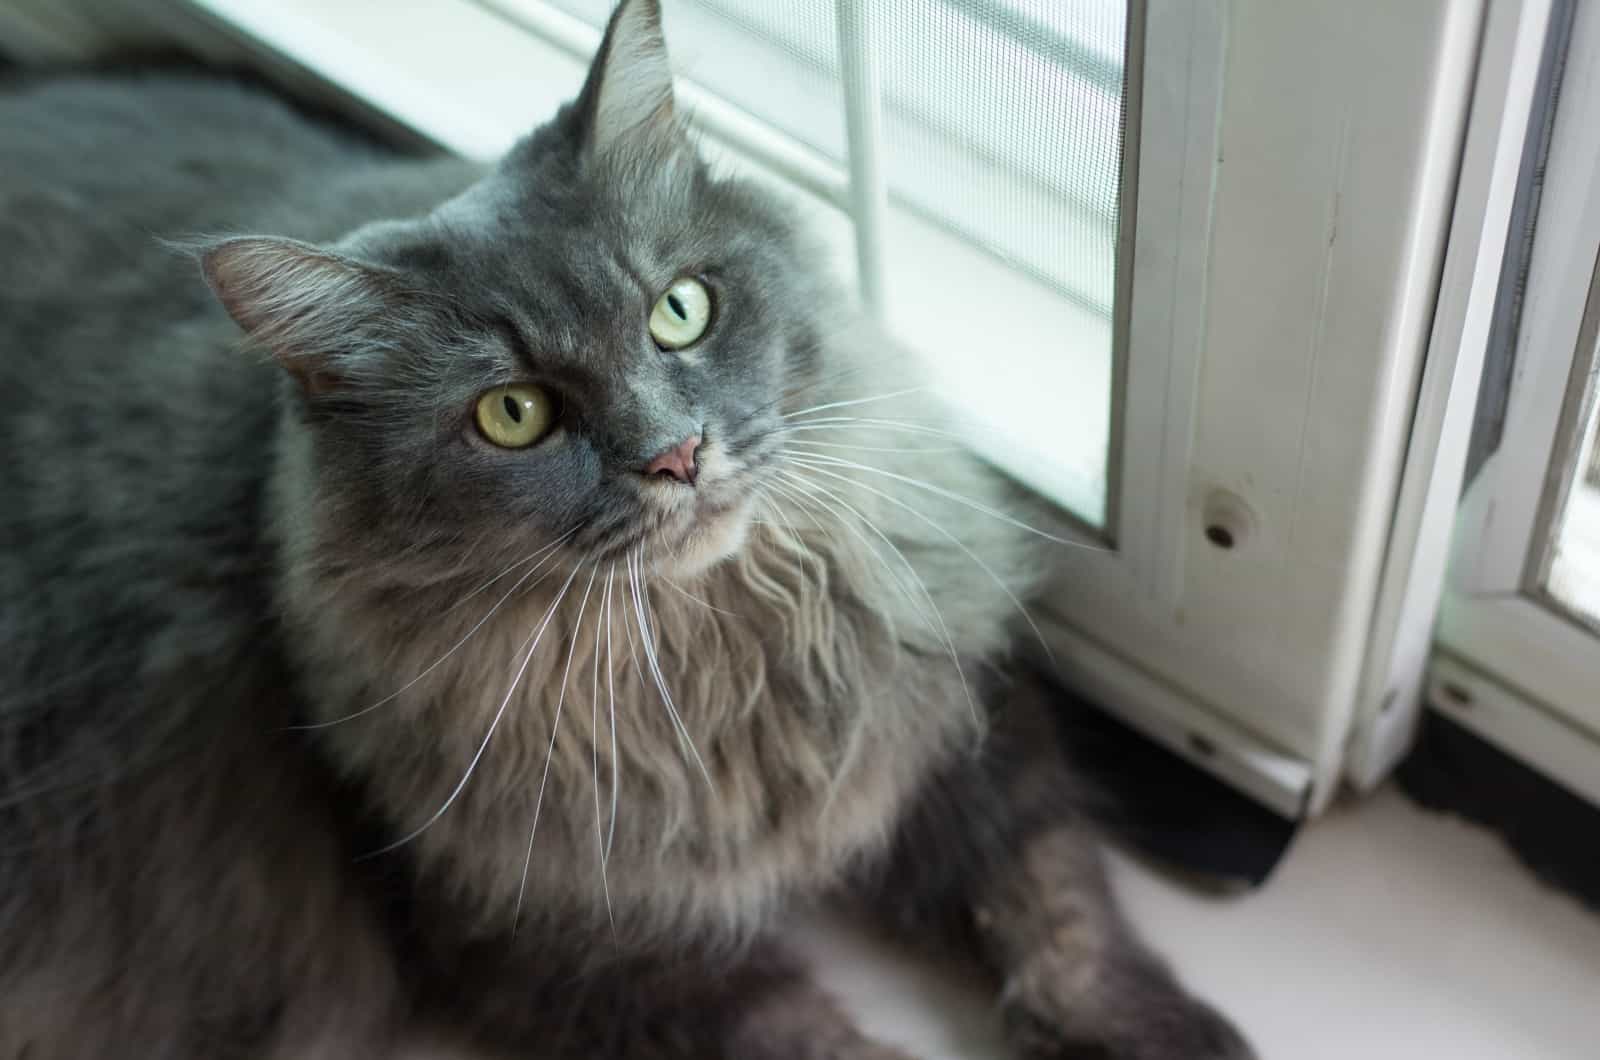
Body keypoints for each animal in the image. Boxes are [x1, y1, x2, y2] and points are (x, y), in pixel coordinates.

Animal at [0, 2, 1248, 1060]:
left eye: (679, 310)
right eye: (513, 414)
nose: (674, 454)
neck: (718, 656)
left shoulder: (949, 716)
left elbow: (1055, 898)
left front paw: (1159, 1032)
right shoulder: (563, 945)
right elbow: (813, 1036)